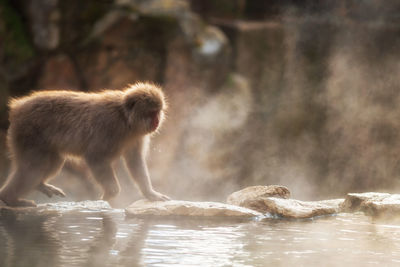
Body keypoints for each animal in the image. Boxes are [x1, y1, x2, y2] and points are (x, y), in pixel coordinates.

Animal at [0, 82, 170, 208]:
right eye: (151, 112)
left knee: (52, 162)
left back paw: (39, 185)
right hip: (28, 133)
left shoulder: (137, 136)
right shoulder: (108, 125)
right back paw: (10, 199)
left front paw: (150, 193)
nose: (156, 121)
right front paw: (109, 193)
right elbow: (95, 156)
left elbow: (135, 162)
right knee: (35, 167)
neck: (125, 119)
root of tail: (17, 107)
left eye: (158, 112)